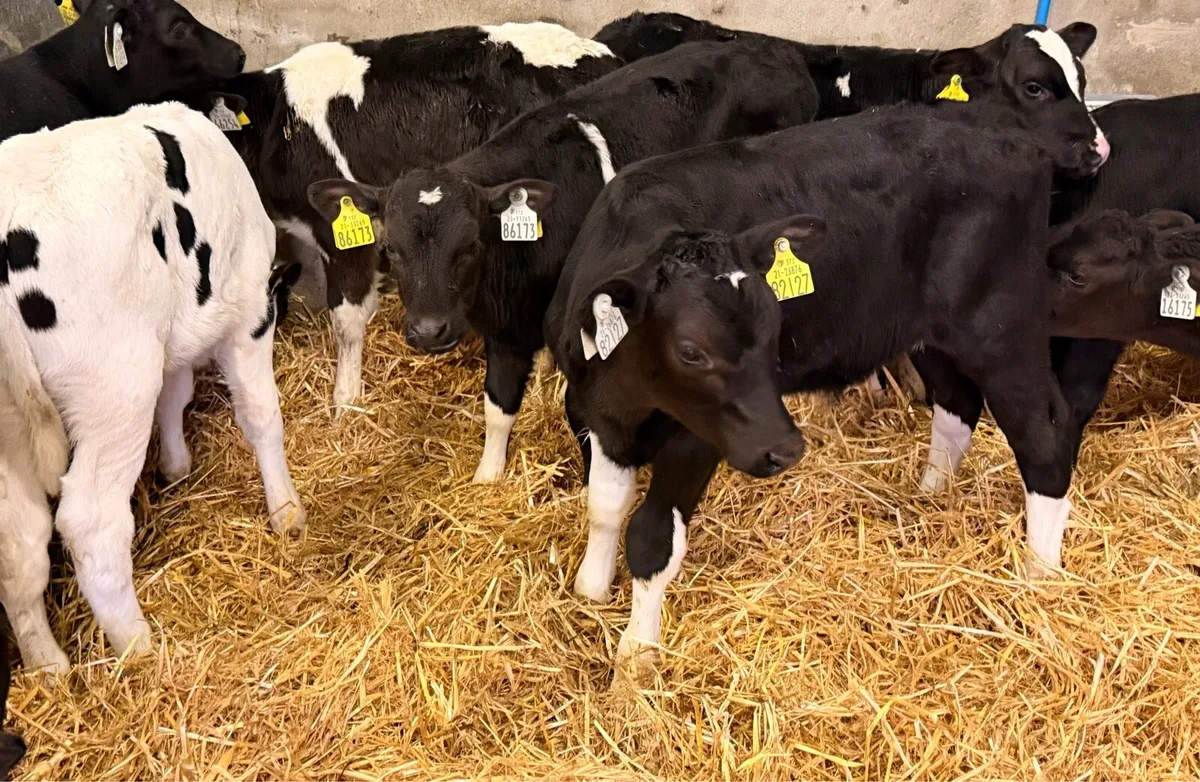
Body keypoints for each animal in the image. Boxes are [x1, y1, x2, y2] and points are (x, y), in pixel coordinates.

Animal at [0, 102, 306, 668]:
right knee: (90, 520)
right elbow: (261, 416)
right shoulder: (250, 309)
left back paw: (49, 666)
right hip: (116, 386)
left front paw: (176, 464)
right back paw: (138, 647)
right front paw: (286, 511)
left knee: (20, 541)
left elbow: (176, 392)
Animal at [305, 38, 819, 483]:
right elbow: (498, 406)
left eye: (469, 244)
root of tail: (773, 49)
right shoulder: (507, 329)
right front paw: (487, 478)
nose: (430, 331)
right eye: (391, 248)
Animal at [544, 24, 1105, 667]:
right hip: (930, 331)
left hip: (1001, 323)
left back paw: (1040, 571)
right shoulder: (596, 410)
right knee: (956, 406)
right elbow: (604, 506)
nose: (786, 449)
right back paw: (929, 498)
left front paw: (636, 654)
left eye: (773, 333)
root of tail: (1007, 136)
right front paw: (590, 587)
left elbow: (652, 536)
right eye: (690, 351)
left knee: (1043, 427)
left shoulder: (696, 438)